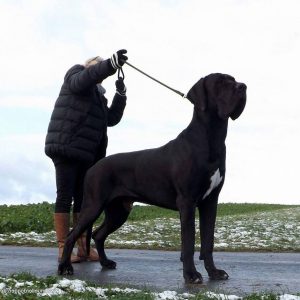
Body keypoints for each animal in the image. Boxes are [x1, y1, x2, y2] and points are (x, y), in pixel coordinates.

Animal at [58, 72, 246, 284]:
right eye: (220, 83)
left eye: (233, 80)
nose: (243, 87)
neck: (211, 138)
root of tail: (93, 167)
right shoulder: (187, 201)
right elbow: (188, 242)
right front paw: (191, 275)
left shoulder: (210, 202)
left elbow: (208, 242)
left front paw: (214, 272)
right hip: (93, 204)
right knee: (72, 235)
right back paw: (65, 267)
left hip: (119, 210)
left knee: (98, 234)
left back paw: (105, 263)